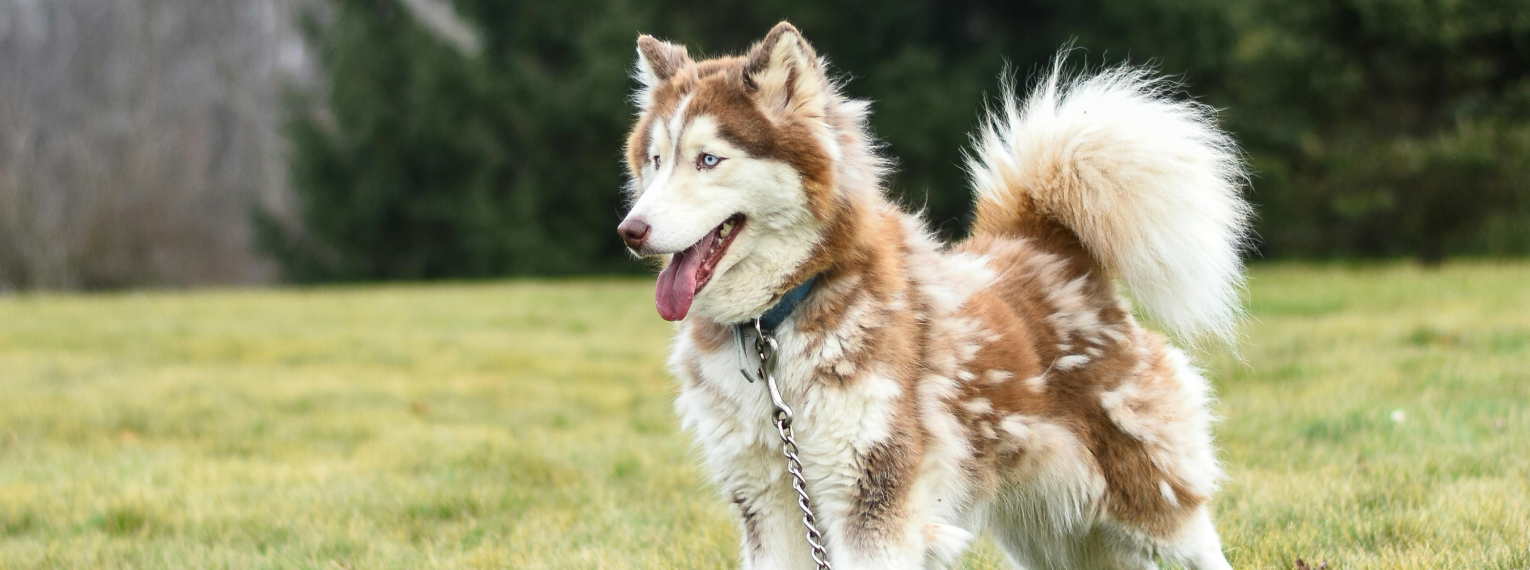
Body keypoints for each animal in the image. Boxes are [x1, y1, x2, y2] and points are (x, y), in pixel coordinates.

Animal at [615, 19, 1248, 565]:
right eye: (655, 160)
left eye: (708, 160)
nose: (631, 229)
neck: (775, 326)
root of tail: (1043, 242)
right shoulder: (769, 506)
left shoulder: (873, 501)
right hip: (1049, 532)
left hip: (1153, 506)